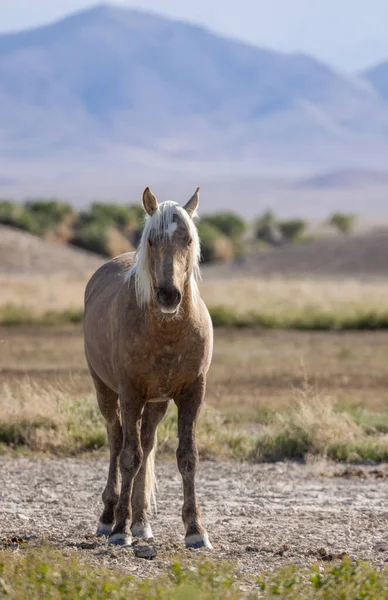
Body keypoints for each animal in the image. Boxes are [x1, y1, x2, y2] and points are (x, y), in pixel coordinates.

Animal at [83, 188, 214, 548]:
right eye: (152, 240)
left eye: (188, 239)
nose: (169, 295)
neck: (167, 331)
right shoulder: (130, 394)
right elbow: (129, 457)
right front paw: (120, 529)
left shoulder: (191, 394)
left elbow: (187, 457)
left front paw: (195, 530)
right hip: (106, 391)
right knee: (117, 441)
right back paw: (109, 518)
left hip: (156, 403)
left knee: (147, 441)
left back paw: (141, 522)